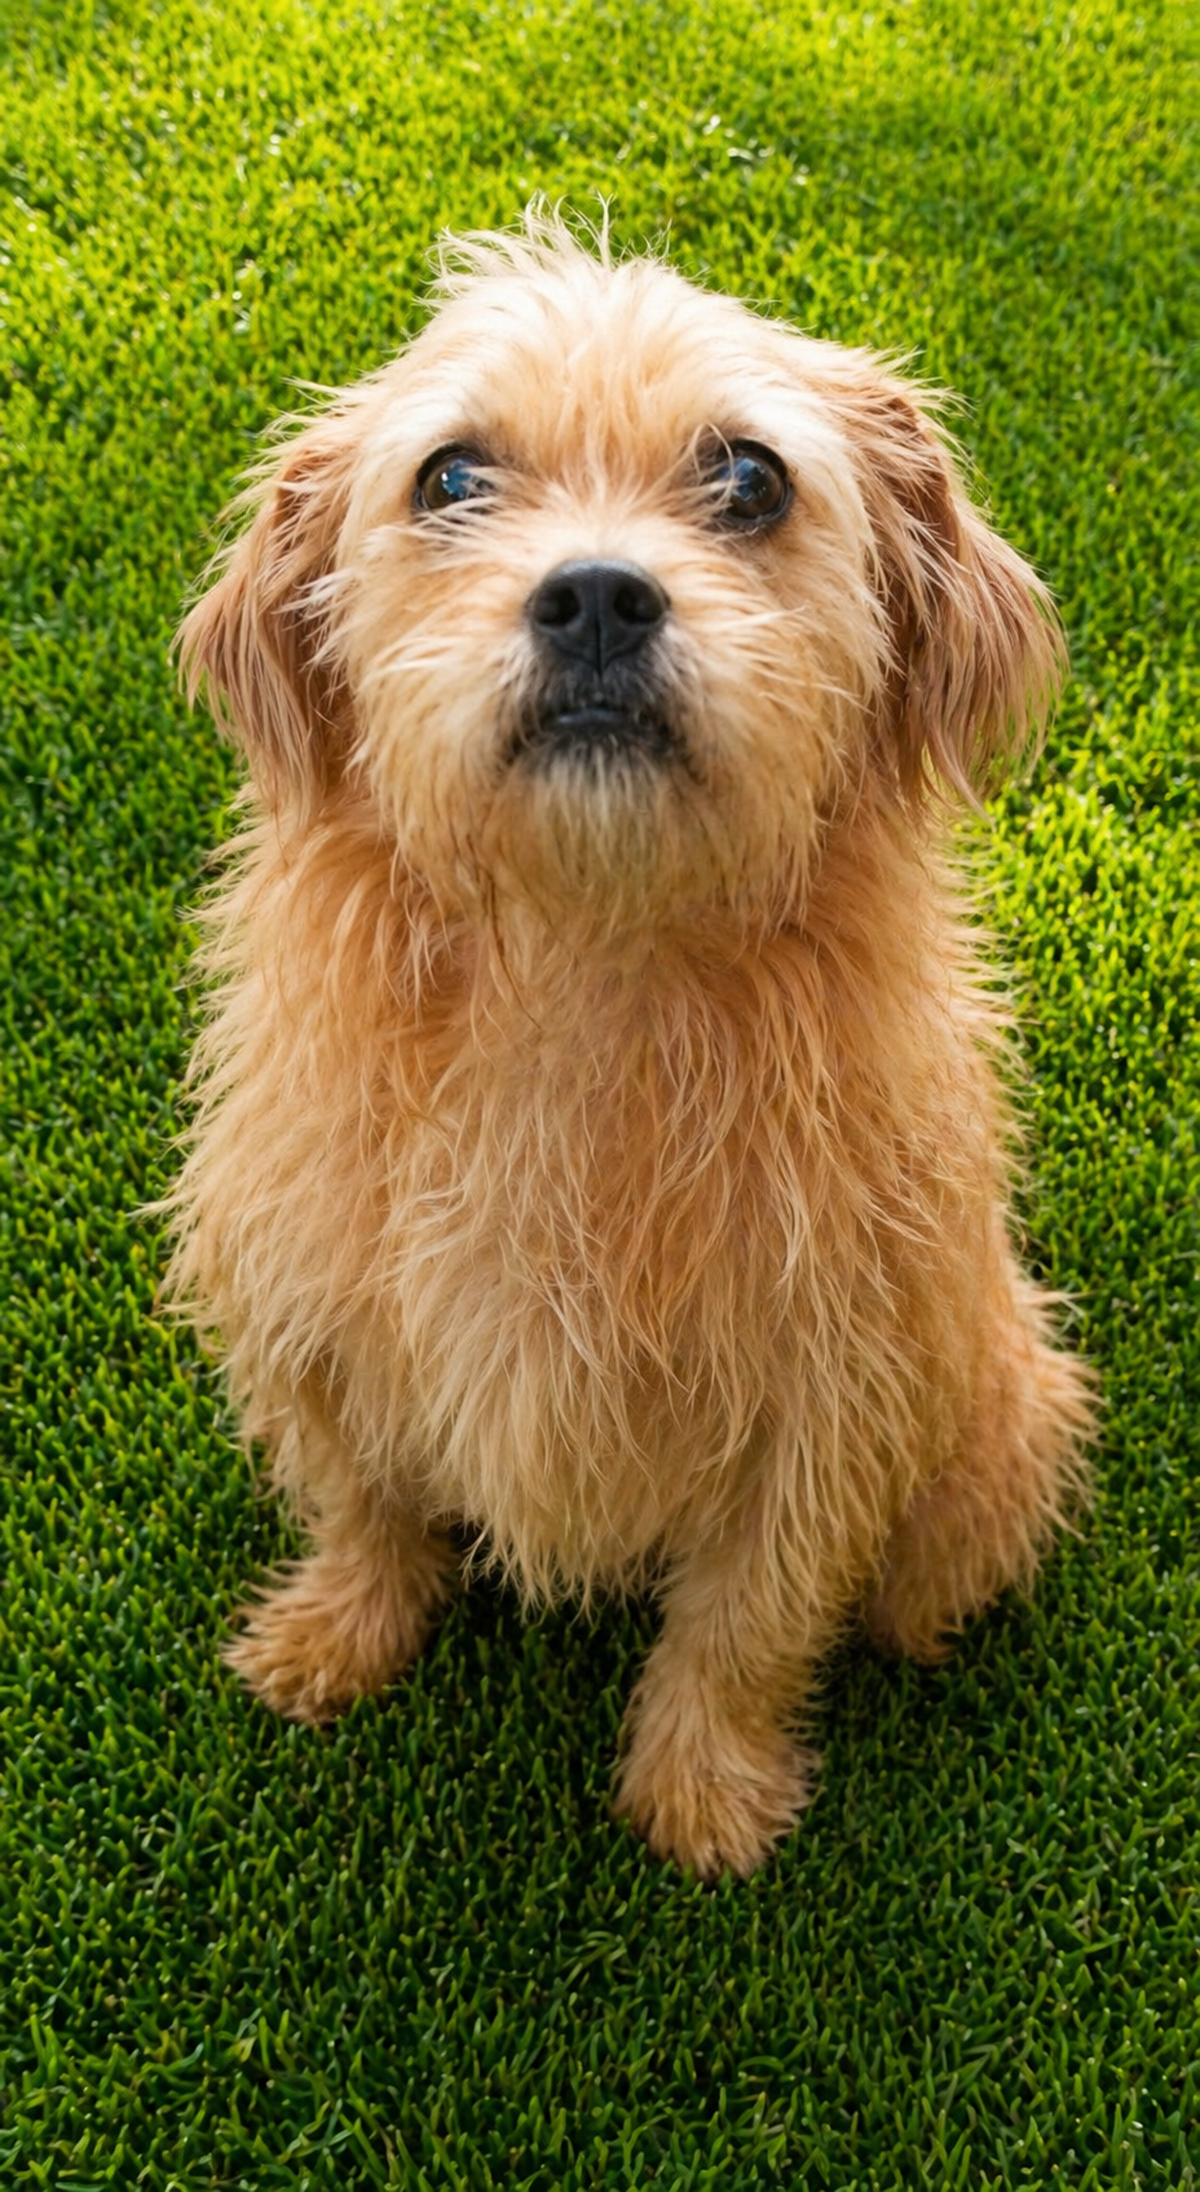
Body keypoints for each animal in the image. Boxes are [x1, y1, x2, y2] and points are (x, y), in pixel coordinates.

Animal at [171, 210, 1092, 1879]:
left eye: (750, 478)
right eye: (451, 477)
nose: (598, 596)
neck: (585, 959)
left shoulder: (835, 1398)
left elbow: (749, 1618)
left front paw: (701, 1797)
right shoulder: (301, 1307)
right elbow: (359, 1504)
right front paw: (334, 1640)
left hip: (1010, 1409)